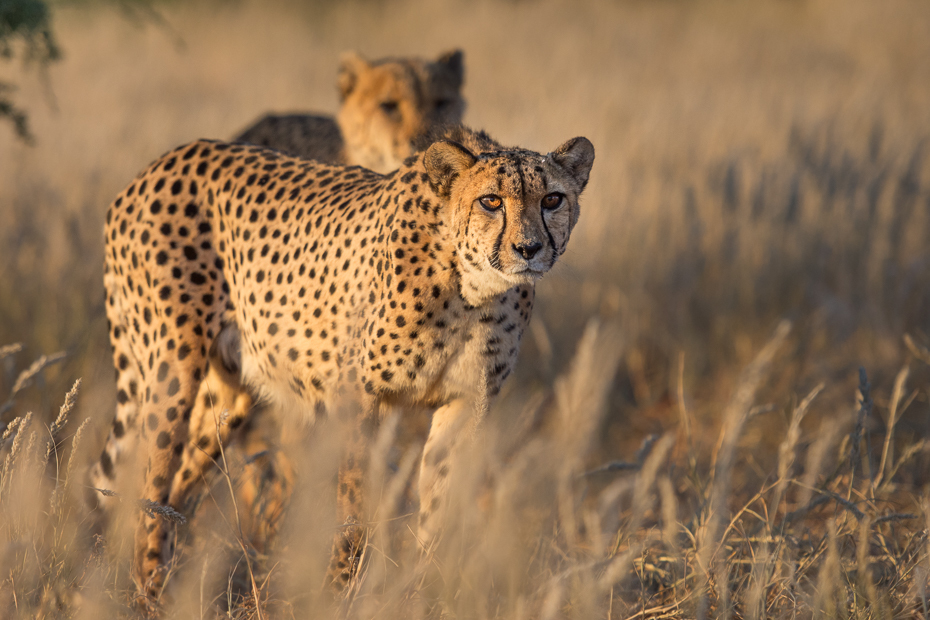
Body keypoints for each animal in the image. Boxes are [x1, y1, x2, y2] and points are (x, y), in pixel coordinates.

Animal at [90, 124, 592, 596]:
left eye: (552, 199)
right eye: (491, 201)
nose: (529, 249)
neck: (471, 285)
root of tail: (157, 166)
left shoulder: (467, 401)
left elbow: (439, 504)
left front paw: (427, 588)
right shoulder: (359, 395)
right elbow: (353, 505)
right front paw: (341, 589)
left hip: (227, 398)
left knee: (174, 490)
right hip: (172, 372)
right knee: (150, 487)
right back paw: (150, 590)